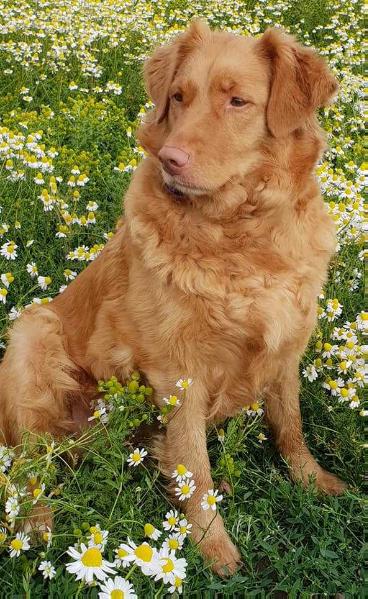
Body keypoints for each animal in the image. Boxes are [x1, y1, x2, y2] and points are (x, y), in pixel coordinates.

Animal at [0, 21, 346, 576]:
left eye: (237, 101)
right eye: (179, 97)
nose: (171, 160)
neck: (237, 235)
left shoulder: (287, 343)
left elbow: (290, 425)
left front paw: (314, 480)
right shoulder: (178, 372)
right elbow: (194, 470)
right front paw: (212, 546)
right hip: (33, 336)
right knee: (29, 466)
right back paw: (35, 525)